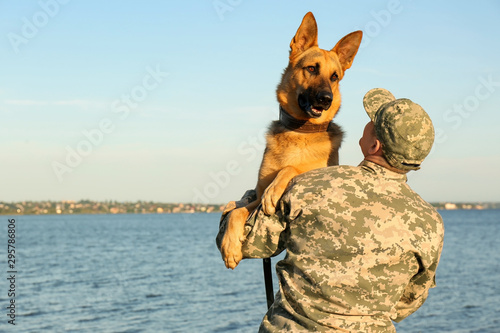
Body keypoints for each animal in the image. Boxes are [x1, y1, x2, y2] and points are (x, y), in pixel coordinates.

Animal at [221, 11, 362, 268]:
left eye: (334, 77)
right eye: (312, 68)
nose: (326, 99)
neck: (301, 131)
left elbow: (291, 168)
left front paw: (275, 189)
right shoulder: (255, 201)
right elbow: (237, 212)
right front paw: (230, 247)